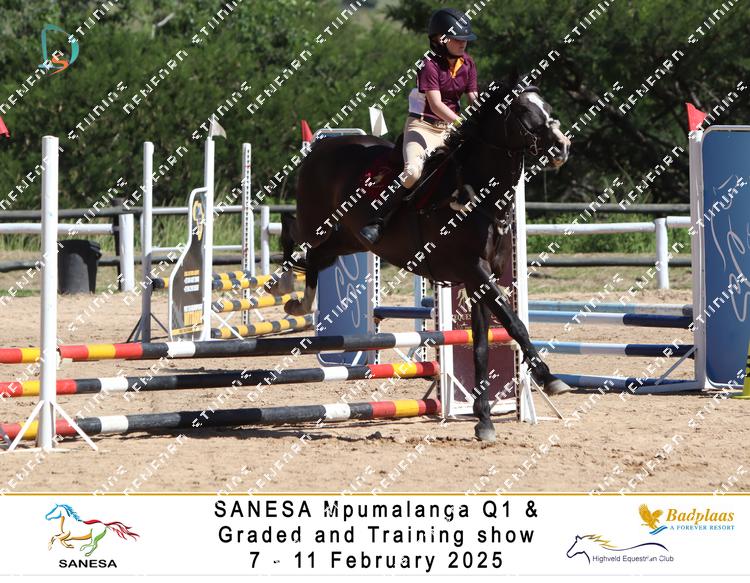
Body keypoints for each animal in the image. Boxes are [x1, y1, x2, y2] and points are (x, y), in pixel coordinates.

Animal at [281, 78, 572, 442]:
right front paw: (549, 377)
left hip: (346, 239)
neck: (480, 195)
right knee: (294, 236)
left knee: (316, 257)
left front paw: (483, 419)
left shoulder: (479, 280)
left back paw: (299, 304)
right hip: (318, 224)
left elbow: (482, 345)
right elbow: (514, 323)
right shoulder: (474, 271)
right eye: (521, 111)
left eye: (547, 107)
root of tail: (320, 148)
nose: (561, 147)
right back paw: (287, 291)